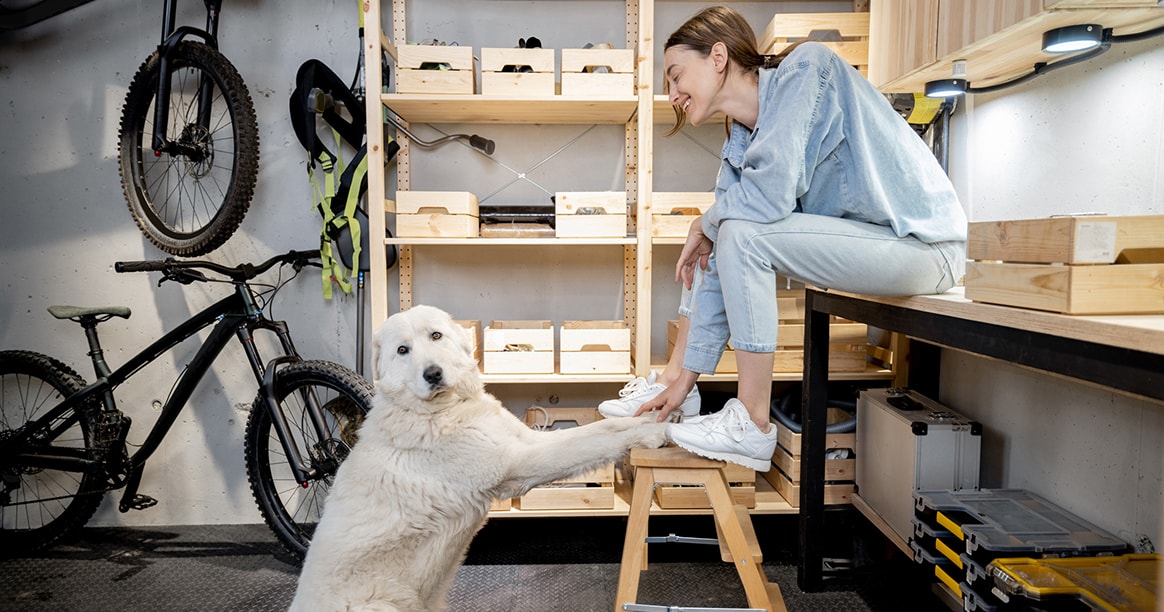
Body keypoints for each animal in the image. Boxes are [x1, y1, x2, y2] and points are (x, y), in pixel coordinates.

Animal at [287, 304, 670, 609]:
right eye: (402, 350)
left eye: (436, 336)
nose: (433, 374)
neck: (444, 409)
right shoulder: (520, 465)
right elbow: (589, 446)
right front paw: (653, 432)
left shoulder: (528, 440)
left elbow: (600, 430)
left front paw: (651, 416)